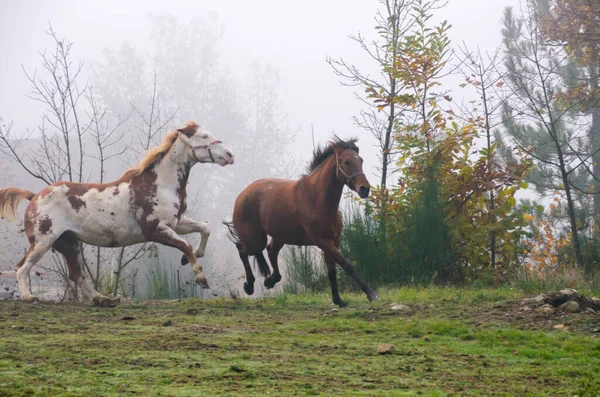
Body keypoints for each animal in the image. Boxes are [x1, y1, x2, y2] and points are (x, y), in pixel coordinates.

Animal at [0, 120, 234, 306]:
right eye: (203, 136)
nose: (229, 155)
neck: (161, 183)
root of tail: (35, 196)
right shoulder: (155, 230)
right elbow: (185, 244)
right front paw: (200, 277)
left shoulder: (176, 223)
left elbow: (204, 229)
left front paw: (193, 256)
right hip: (43, 241)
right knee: (22, 267)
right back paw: (29, 297)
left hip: (69, 243)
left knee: (76, 274)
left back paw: (102, 299)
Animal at [225, 137, 380, 306]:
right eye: (346, 162)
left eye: (361, 160)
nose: (364, 189)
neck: (317, 199)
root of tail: (242, 194)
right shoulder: (322, 241)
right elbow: (347, 265)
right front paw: (371, 293)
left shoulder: (334, 241)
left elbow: (331, 271)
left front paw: (338, 300)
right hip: (255, 240)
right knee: (242, 250)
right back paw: (249, 286)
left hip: (279, 237)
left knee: (270, 250)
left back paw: (270, 280)